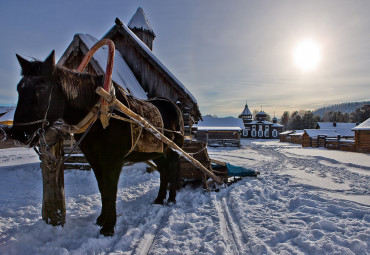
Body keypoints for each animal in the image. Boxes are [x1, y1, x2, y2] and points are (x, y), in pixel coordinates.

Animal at [10, 50, 185, 236]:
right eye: (19, 88)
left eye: (41, 89)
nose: (18, 133)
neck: (100, 116)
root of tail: (175, 106)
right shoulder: (94, 159)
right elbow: (102, 188)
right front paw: (102, 219)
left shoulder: (112, 161)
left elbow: (110, 190)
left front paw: (108, 227)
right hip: (158, 151)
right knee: (164, 171)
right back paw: (159, 198)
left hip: (173, 149)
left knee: (173, 169)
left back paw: (172, 198)